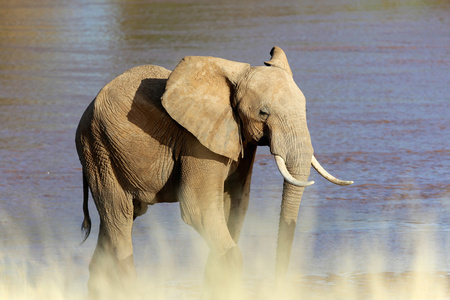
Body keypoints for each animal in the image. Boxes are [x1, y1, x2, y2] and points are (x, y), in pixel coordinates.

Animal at [75, 45, 354, 298]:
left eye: (305, 109)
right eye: (263, 112)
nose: (278, 288)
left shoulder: (239, 140)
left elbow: (235, 202)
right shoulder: (197, 140)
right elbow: (198, 208)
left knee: (118, 220)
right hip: (98, 149)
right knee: (119, 216)